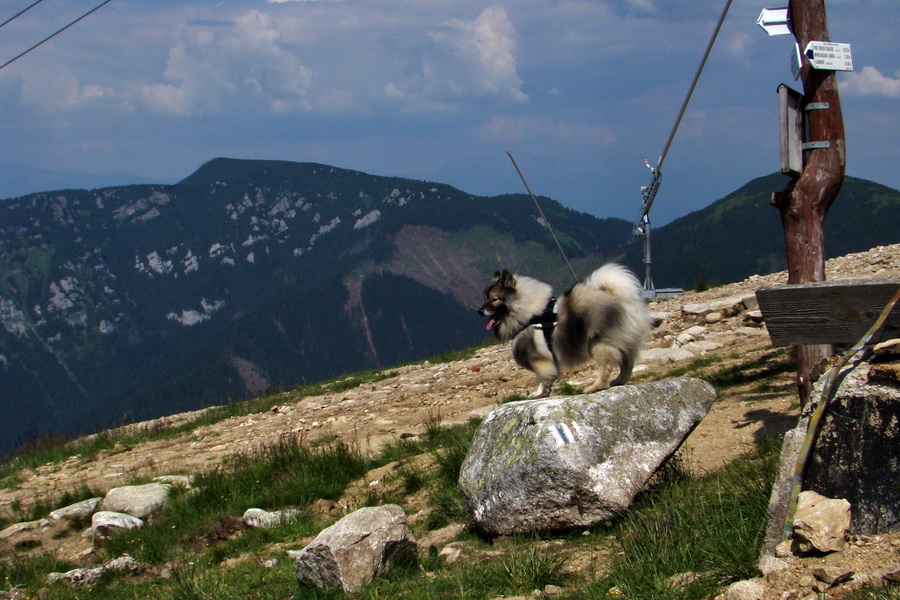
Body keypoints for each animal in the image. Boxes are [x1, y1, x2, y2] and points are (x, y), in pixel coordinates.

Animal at [482, 264, 652, 398]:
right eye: (485, 298)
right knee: (627, 364)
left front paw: (539, 393)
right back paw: (619, 381)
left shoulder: (538, 359)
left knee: (607, 366)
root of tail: (619, 296)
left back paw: (595, 387)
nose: (479, 311)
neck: (527, 313)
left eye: (495, 299)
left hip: (599, 344)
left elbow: (542, 378)